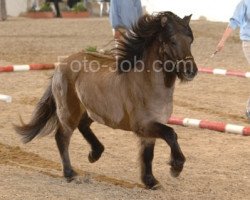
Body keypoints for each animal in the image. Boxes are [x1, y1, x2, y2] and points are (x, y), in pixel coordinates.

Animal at [14, 11, 198, 189]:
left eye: (190, 41)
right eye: (172, 41)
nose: (191, 71)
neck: (148, 83)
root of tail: (61, 65)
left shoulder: (150, 129)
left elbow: (148, 154)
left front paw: (151, 182)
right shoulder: (143, 125)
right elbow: (171, 134)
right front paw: (175, 167)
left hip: (90, 110)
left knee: (83, 126)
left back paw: (94, 154)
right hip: (69, 112)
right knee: (62, 137)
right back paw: (70, 173)